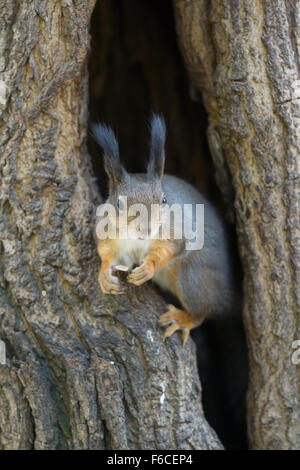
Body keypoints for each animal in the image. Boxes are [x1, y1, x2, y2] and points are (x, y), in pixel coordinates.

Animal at [92, 115, 238, 344]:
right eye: (118, 204)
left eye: (164, 200)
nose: (146, 229)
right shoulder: (105, 231)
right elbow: (105, 251)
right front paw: (104, 273)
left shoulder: (176, 232)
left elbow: (170, 249)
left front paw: (148, 268)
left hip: (192, 278)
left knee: (203, 311)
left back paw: (183, 319)